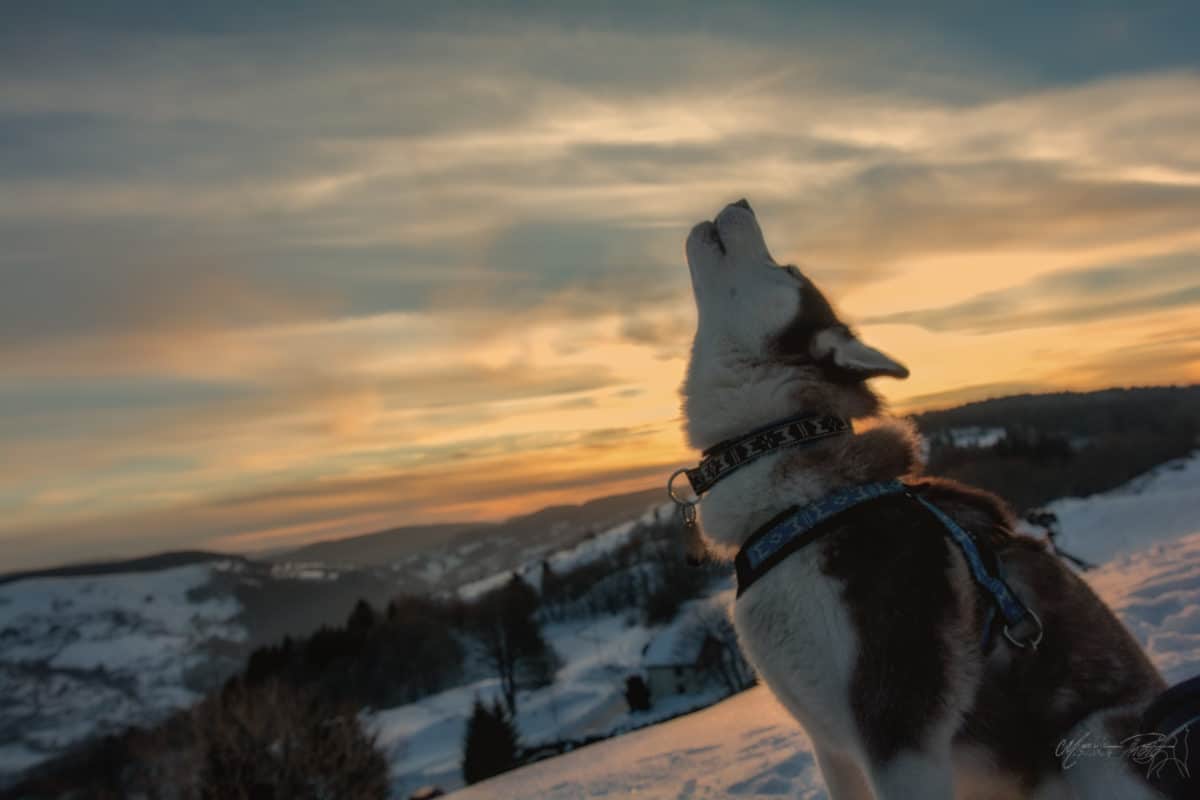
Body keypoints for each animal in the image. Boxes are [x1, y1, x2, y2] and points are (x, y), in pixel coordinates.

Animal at [681, 196, 1166, 796]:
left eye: (789, 269)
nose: (743, 202)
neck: (795, 507)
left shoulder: (898, 732)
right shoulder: (831, 748)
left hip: (1090, 743)